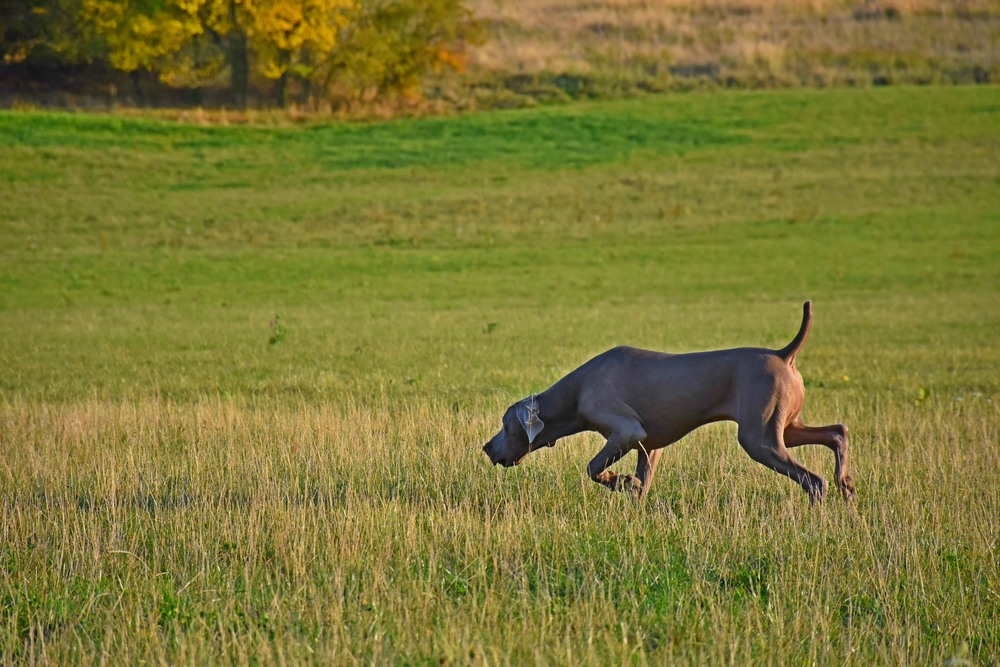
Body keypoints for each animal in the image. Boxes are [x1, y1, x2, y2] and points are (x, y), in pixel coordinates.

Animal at [482, 302, 852, 500]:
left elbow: (592, 468)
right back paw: (846, 484)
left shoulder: (627, 431)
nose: (486, 448)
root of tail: (783, 354)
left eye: (505, 426)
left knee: (813, 480)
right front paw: (630, 489)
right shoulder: (648, 445)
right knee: (837, 431)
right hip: (785, 427)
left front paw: (618, 480)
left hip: (758, 438)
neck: (575, 391)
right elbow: (642, 483)